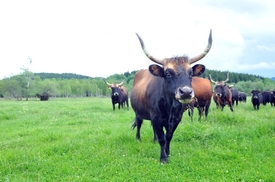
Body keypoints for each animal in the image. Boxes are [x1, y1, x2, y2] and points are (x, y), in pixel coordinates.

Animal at [132, 30, 213, 163]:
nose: (186, 92)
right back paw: (138, 138)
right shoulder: (156, 117)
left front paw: (168, 153)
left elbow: (168, 137)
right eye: (168, 73)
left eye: (191, 73)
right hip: (138, 112)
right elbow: (162, 138)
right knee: (139, 124)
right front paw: (163, 158)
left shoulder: (176, 119)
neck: (169, 106)